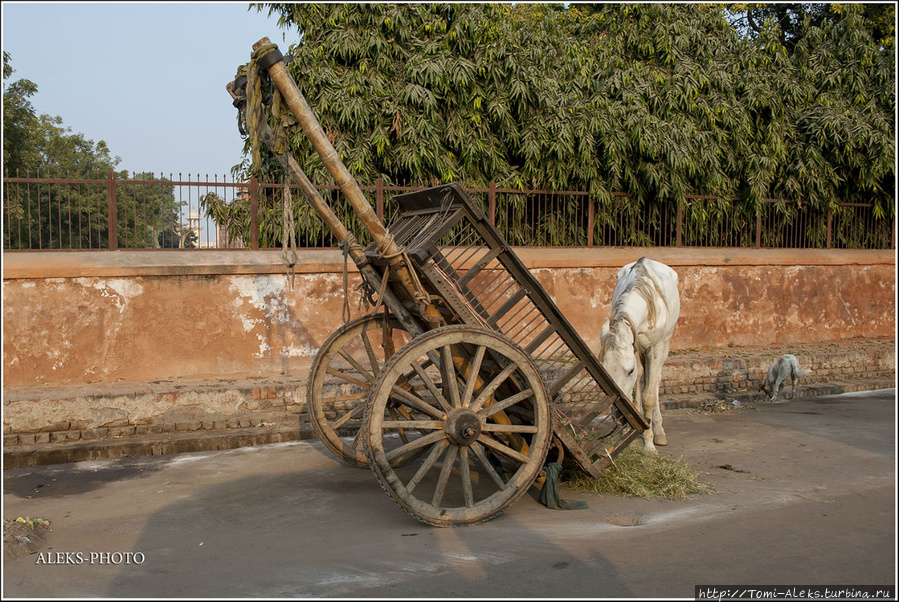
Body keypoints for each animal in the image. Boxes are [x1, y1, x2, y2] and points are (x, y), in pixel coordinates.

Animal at [600, 255, 680, 452]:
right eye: (603, 371)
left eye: (628, 370)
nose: (619, 416)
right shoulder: (633, 344)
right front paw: (627, 432)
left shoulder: (656, 348)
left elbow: (649, 396)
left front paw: (649, 444)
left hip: (665, 343)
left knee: (656, 379)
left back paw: (659, 431)